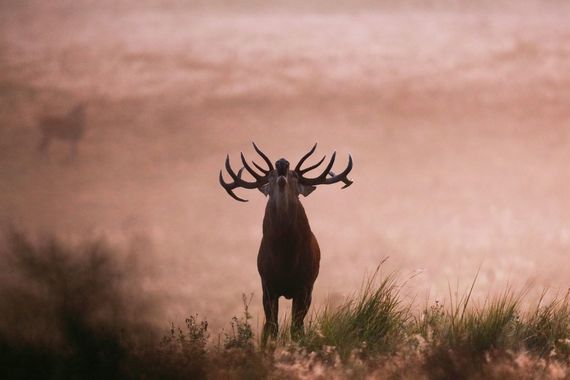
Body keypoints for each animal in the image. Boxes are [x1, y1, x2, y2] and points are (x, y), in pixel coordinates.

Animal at [217, 142, 350, 344]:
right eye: (270, 175)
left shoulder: (305, 285)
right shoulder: (267, 284)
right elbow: (271, 327)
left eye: (294, 175)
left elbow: (296, 327)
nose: (281, 163)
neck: (286, 260)